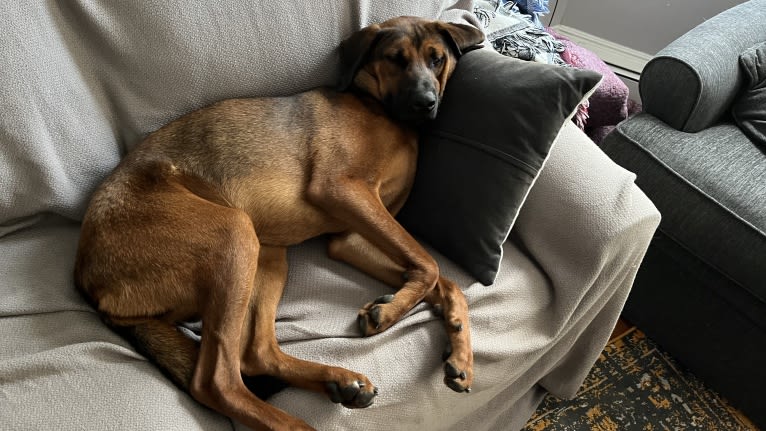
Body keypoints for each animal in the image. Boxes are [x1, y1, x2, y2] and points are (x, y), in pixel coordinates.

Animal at [76, 15, 486, 430]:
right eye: (394, 59)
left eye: (437, 59)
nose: (425, 103)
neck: (381, 109)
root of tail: (88, 281)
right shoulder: (343, 189)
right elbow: (430, 265)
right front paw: (387, 312)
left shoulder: (350, 237)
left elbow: (445, 280)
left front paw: (460, 353)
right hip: (235, 234)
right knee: (216, 381)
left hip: (267, 254)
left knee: (256, 353)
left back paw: (339, 380)